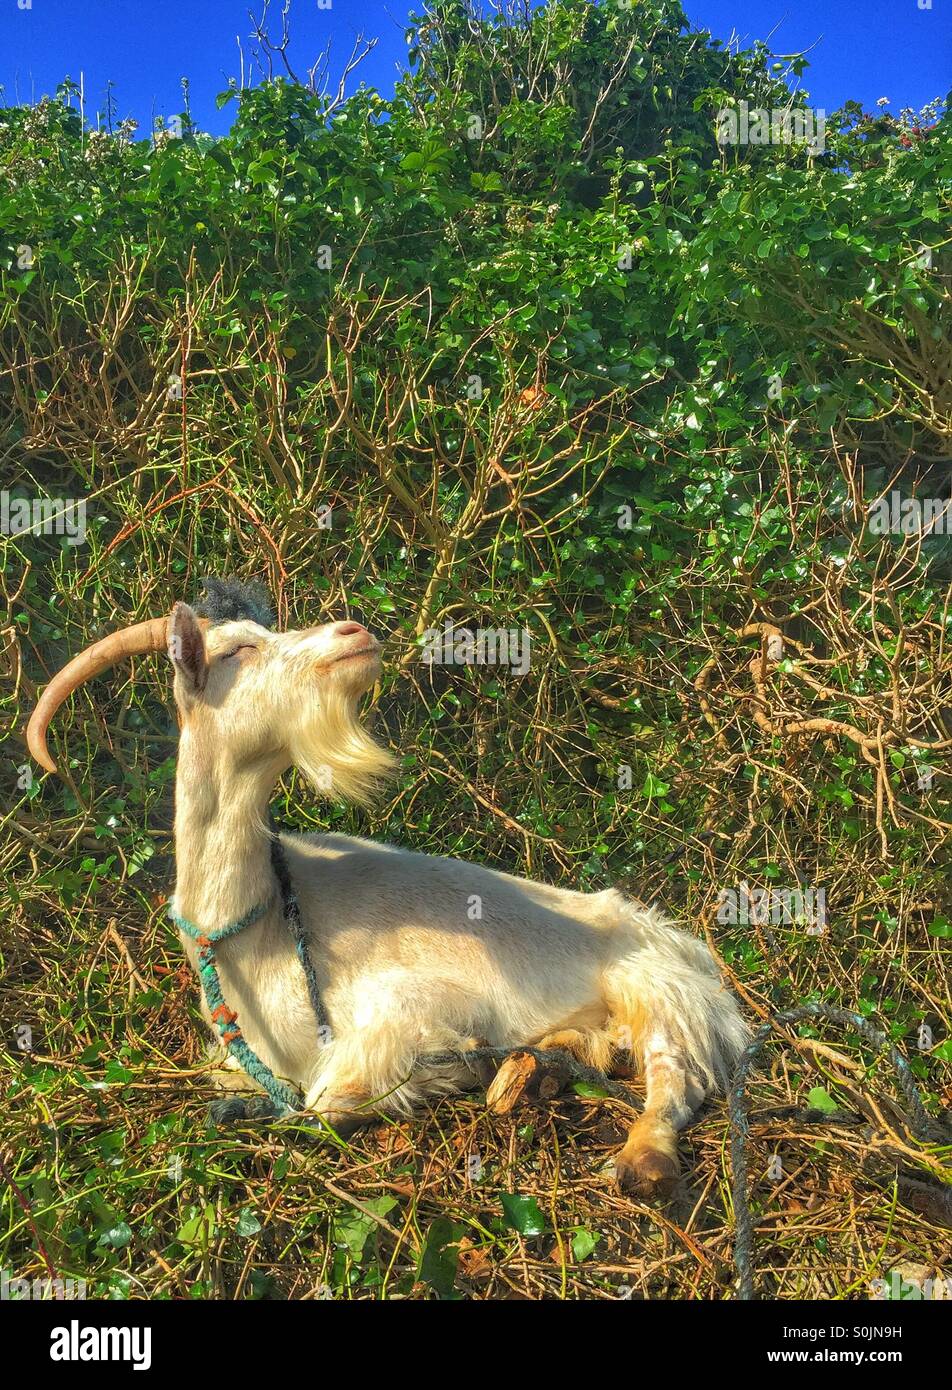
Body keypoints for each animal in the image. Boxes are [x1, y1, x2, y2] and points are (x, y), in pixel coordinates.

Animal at [26, 581, 744, 1200]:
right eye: (238, 650)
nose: (354, 631)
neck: (256, 930)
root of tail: (680, 942)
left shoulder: (413, 1006)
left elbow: (328, 1102)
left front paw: (451, 1064)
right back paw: (538, 1070)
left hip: (653, 984)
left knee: (674, 1075)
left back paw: (639, 1157)